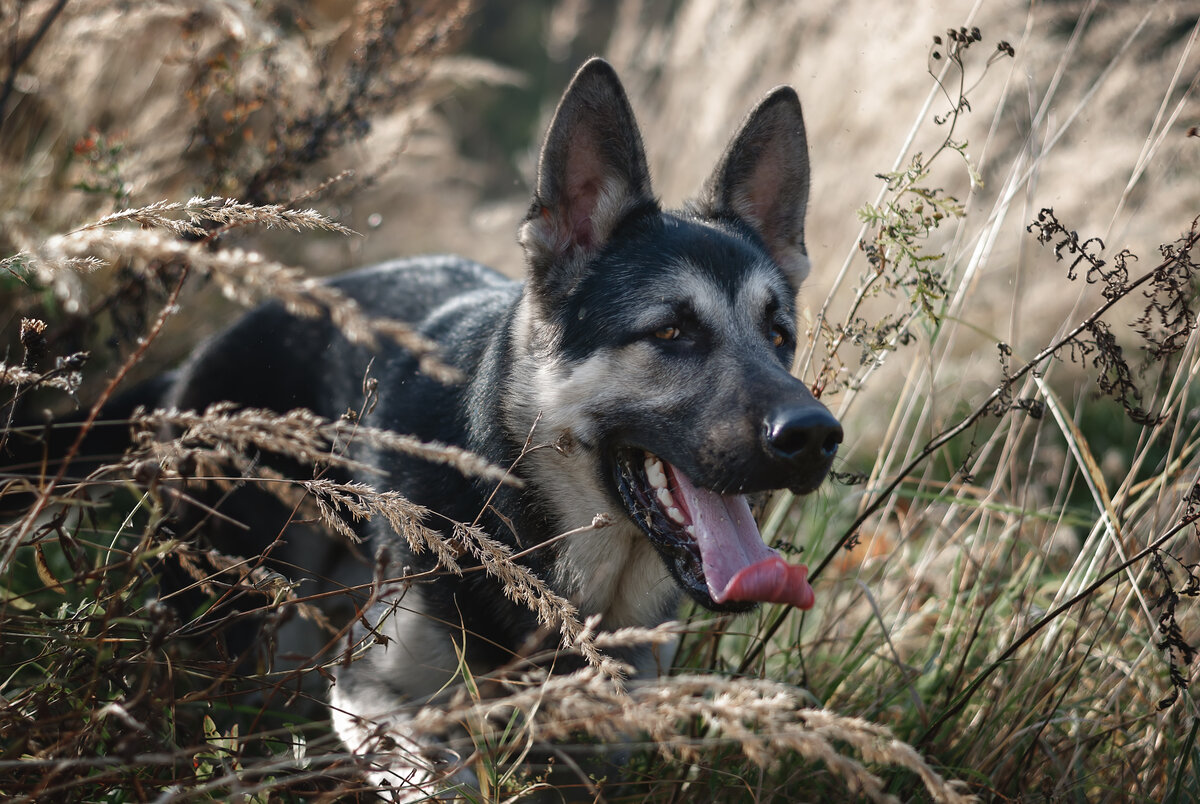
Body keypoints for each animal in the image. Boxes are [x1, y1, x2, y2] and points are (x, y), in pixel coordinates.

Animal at [23, 58, 844, 801]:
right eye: (672, 331)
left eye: (779, 336)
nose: (814, 435)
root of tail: (201, 358)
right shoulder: (372, 699)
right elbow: (447, 777)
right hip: (240, 613)